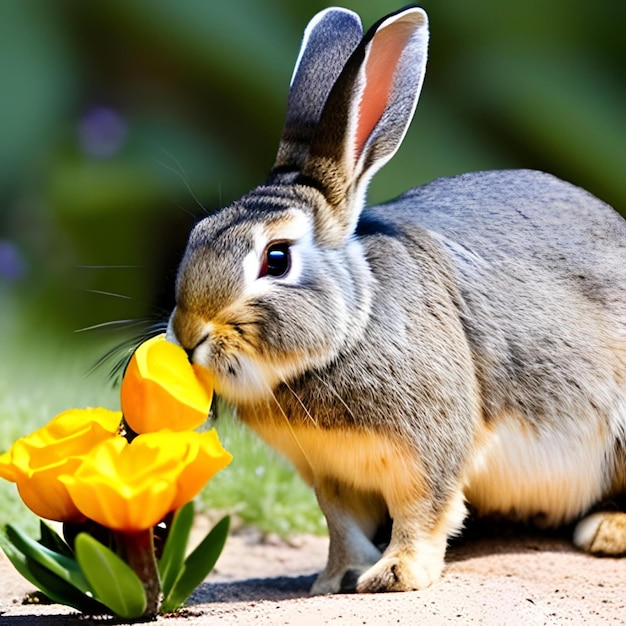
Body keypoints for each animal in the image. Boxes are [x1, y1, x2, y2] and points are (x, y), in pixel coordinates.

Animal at [167, 3, 624, 588]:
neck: (352, 325)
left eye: (277, 258)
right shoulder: (332, 475)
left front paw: (394, 575)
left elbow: (423, 513)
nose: (188, 335)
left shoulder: (429, 452)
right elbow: (341, 525)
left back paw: (607, 531)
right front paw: (334, 578)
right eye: (199, 232)